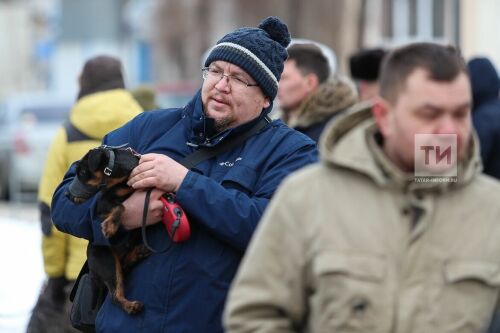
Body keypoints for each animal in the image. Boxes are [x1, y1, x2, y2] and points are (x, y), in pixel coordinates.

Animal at [67, 145, 151, 314]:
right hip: (108, 261)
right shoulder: (103, 203)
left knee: (124, 266)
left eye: (82, 173)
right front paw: (110, 227)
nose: (66, 194)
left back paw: (139, 253)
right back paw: (131, 306)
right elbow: (121, 206)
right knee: (115, 294)